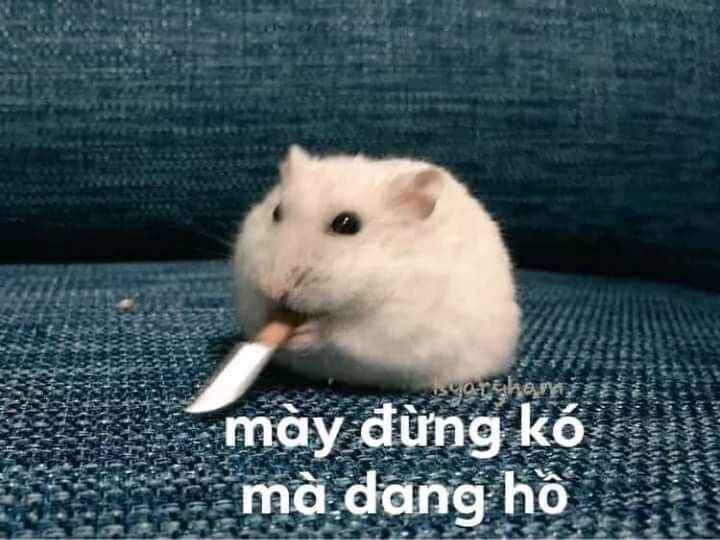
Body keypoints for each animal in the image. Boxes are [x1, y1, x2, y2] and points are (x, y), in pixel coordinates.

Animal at [232, 145, 521, 390]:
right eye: (276, 212)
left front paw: (303, 334)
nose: (275, 289)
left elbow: (341, 333)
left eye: (347, 224)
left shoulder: (394, 324)